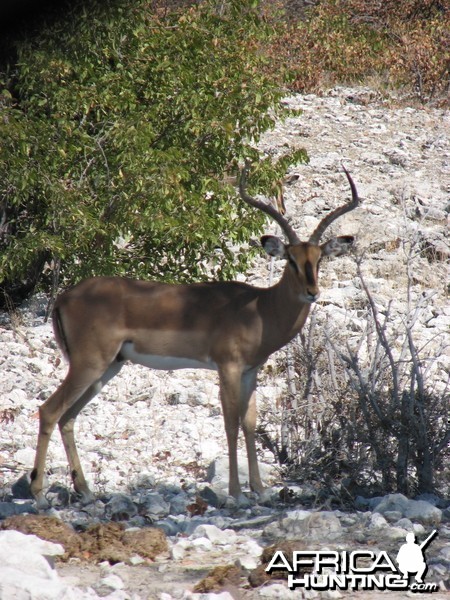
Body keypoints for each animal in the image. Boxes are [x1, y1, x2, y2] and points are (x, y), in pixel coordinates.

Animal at [29, 166, 360, 508]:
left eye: (319, 259)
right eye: (290, 259)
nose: (312, 292)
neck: (259, 308)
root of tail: (64, 297)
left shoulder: (250, 371)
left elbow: (250, 423)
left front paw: (259, 489)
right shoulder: (227, 368)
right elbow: (230, 423)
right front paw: (236, 494)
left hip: (107, 369)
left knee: (67, 418)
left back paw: (86, 491)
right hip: (89, 365)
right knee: (49, 410)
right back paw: (39, 494)